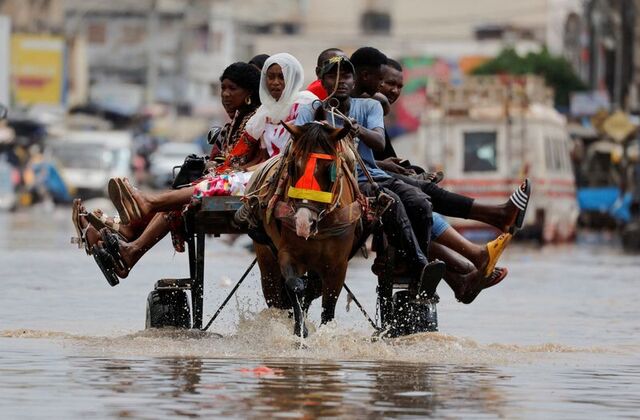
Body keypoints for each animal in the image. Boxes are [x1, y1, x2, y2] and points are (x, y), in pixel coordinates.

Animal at [245, 120, 362, 336]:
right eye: (292, 168)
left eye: (330, 170)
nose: (302, 222)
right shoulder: (288, 253)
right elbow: (294, 286)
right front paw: (300, 330)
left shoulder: (337, 265)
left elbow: (328, 307)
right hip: (265, 255)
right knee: (275, 293)